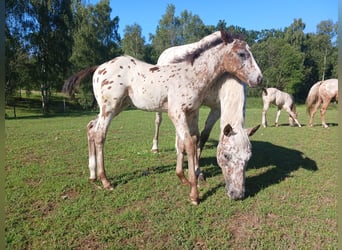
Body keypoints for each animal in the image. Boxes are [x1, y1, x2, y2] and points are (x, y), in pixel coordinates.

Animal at [63, 29, 262, 205]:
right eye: (242, 53)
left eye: (248, 158)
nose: (259, 79)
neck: (191, 75)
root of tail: (99, 67)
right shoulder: (177, 112)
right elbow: (189, 144)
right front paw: (194, 194)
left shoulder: (191, 112)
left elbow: (192, 140)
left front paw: (186, 179)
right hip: (109, 107)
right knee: (100, 135)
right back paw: (105, 180)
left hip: (118, 106)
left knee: (91, 127)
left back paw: (92, 175)